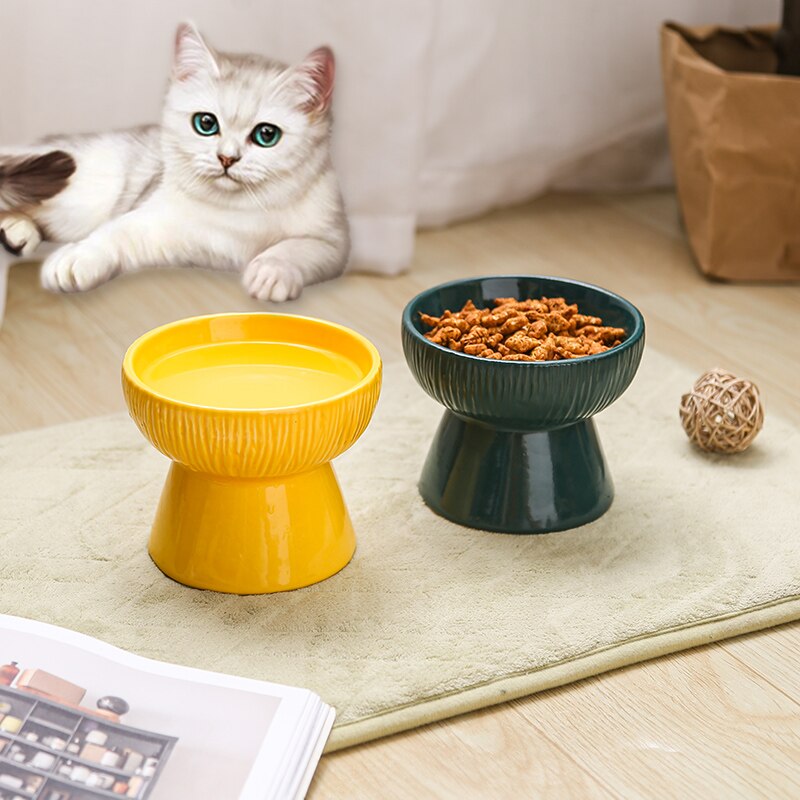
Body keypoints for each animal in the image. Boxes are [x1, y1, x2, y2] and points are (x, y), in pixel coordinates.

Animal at [0, 23, 346, 304]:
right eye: (205, 123)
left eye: (266, 135)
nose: (226, 158)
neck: (238, 213)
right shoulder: (152, 218)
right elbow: (112, 234)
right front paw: (76, 258)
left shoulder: (334, 241)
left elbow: (298, 248)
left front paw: (270, 271)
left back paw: (16, 233)